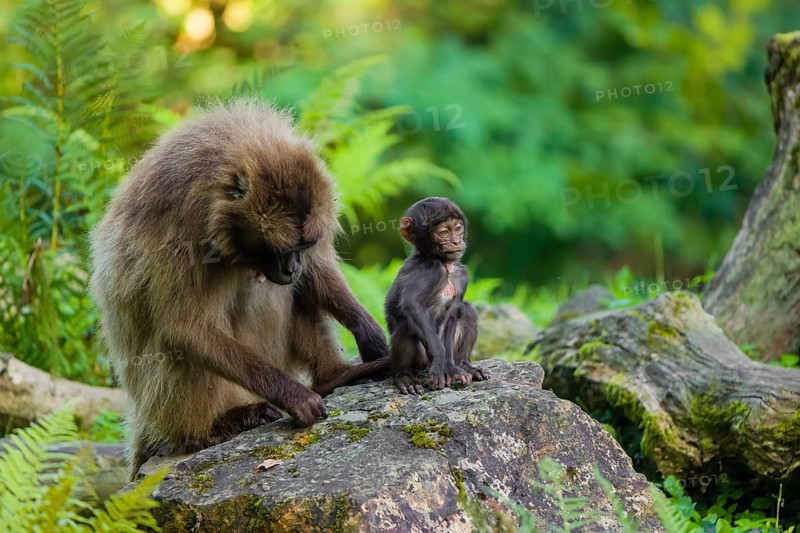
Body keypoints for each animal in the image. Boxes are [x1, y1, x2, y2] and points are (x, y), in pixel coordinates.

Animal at [89, 100, 390, 480]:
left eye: (302, 245)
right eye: (279, 248)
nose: (291, 268)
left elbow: (317, 273)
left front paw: (371, 336)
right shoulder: (184, 228)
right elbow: (186, 330)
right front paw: (294, 396)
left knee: (293, 292)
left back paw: (333, 377)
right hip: (171, 403)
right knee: (178, 348)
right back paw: (212, 429)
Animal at [384, 197, 489, 395]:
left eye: (458, 228)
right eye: (443, 232)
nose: (456, 241)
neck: (445, 266)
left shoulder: (462, 275)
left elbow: (452, 313)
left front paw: (451, 368)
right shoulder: (429, 270)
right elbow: (413, 306)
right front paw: (441, 366)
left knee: (467, 310)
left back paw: (464, 365)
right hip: (421, 360)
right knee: (406, 325)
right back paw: (404, 377)